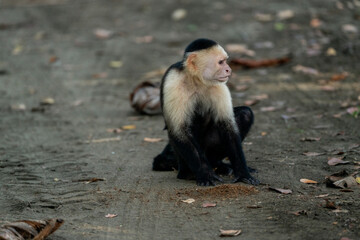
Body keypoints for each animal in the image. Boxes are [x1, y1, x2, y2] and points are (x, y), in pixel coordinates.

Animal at [152, 38, 258, 187]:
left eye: (225, 61)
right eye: (220, 62)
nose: (229, 69)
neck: (196, 79)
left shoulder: (219, 85)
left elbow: (228, 127)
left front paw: (242, 173)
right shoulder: (173, 82)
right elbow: (179, 130)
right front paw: (206, 174)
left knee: (245, 114)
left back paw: (219, 165)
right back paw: (188, 173)